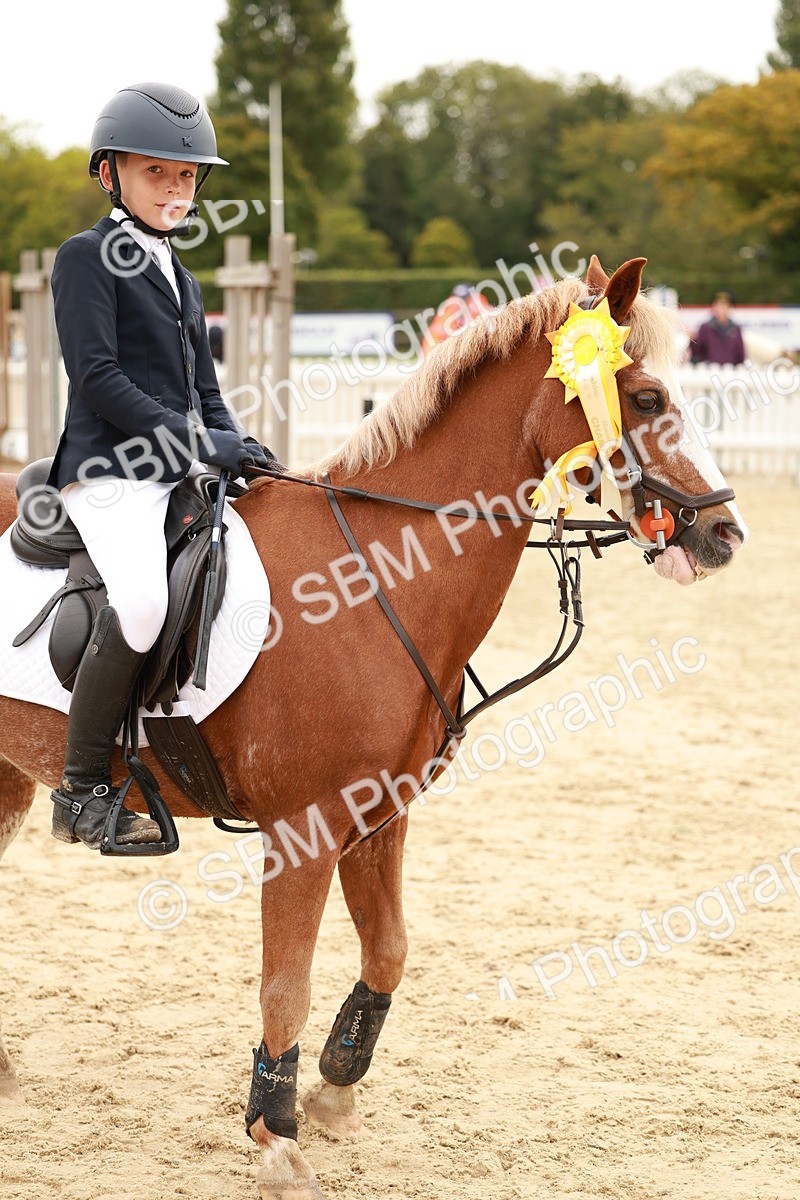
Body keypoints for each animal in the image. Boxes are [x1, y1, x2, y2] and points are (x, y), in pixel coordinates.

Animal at [0, 255, 746, 1197]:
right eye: (645, 398)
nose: (725, 531)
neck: (377, 570)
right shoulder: (305, 827)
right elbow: (285, 982)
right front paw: (275, 1137)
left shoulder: (379, 815)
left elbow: (388, 949)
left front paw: (333, 1085)